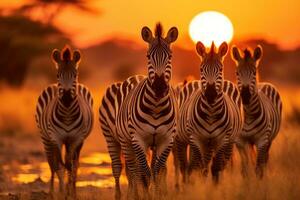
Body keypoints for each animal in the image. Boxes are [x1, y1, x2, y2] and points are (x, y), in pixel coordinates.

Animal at [35, 46, 93, 198]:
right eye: (57, 75)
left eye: (75, 75)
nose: (66, 99)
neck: (67, 114)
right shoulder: (56, 138)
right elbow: (59, 165)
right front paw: (63, 192)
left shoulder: (77, 139)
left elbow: (72, 166)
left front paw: (71, 192)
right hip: (46, 138)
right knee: (52, 164)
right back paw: (53, 191)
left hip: (72, 141)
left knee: (72, 164)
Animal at [173, 41, 244, 186]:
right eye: (201, 69)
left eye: (220, 69)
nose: (210, 94)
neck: (211, 112)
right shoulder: (196, 139)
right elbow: (198, 166)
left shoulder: (222, 140)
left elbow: (215, 168)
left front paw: (214, 188)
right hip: (182, 140)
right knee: (185, 166)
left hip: (227, 143)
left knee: (219, 164)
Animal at [231, 45, 282, 178]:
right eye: (237, 73)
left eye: (254, 72)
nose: (245, 96)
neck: (248, 114)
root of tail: (264, 83)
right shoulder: (240, 141)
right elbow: (245, 168)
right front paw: (247, 183)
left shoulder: (262, 140)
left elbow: (258, 168)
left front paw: (259, 182)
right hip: (250, 142)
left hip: (269, 139)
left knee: (265, 159)